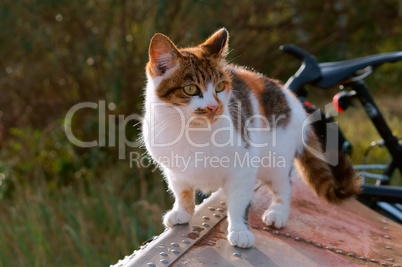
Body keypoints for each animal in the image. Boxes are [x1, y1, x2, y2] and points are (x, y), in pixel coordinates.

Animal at [141, 27, 358, 249]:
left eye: (220, 86)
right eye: (191, 89)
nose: (214, 107)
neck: (189, 130)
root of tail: (293, 100)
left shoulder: (244, 165)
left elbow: (239, 200)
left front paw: (240, 230)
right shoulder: (173, 169)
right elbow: (181, 190)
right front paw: (182, 211)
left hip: (276, 158)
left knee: (285, 186)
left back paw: (278, 211)